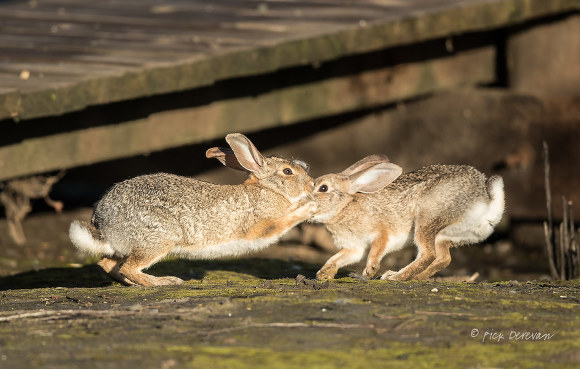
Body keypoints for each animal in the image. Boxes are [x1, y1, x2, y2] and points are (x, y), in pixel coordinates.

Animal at [71, 132, 318, 284]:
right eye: (288, 172)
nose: (311, 184)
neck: (270, 189)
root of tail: (103, 224)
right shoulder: (262, 226)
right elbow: (284, 222)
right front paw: (309, 206)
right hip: (159, 238)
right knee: (128, 267)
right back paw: (164, 282)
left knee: (108, 264)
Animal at [310, 155, 506, 278]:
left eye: (323, 188)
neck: (343, 208)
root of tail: (485, 201)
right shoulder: (354, 248)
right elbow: (337, 258)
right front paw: (323, 273)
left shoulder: (381, 233)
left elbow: (377, 249)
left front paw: (369, 271)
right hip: (445, 235)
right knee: (443, 258)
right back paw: (416, 277)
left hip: (427, 219)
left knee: (428, 254)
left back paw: (395, 277)